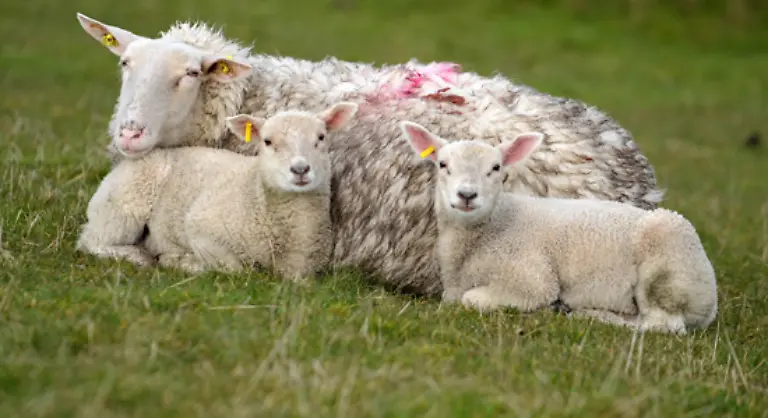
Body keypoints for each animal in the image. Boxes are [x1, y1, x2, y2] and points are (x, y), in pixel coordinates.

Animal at [76, 102, 358, 282]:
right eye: (267, 141)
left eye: (321, 138)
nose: (300, 169)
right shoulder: (202, 228)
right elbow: (235, 269)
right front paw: (182, 262)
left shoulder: (304, 267)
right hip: (124, 204)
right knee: (91, 240)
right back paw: (137, 256)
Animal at [399, 121, 718, 334]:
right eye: (442, 164)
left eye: (496, 168)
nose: (467, 195)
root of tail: (710, 298)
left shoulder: (532, 279)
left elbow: (472, 299)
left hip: (666, 262)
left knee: (663, 324)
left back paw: (590, 315)